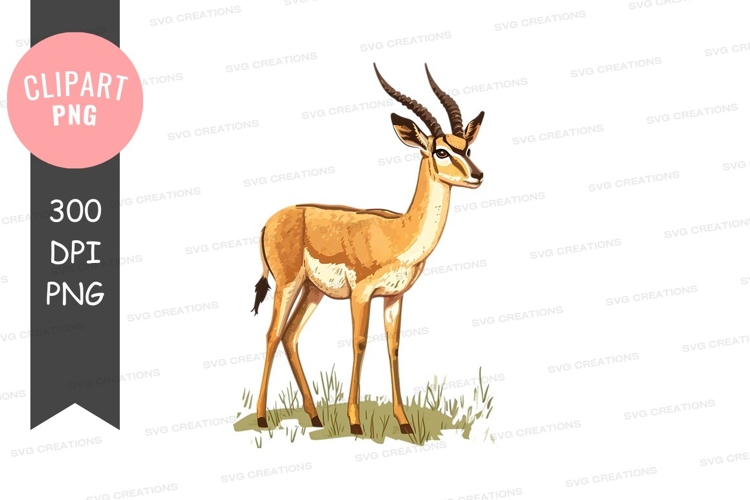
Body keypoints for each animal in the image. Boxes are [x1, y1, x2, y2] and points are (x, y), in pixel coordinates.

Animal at [251, 63, 485, 435]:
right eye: (441, 151)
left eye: (468, 148)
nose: (478, 175)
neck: (398, 232)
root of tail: (270, 221)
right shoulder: (361, 294)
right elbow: (359, 343)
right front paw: (356, 423)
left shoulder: (394, 297)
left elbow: (393, 347)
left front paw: (404, 423)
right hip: (288, 284)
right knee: (273, 334)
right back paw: (261, 417)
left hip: (312, 290)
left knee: (290, 336)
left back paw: (315, 417)